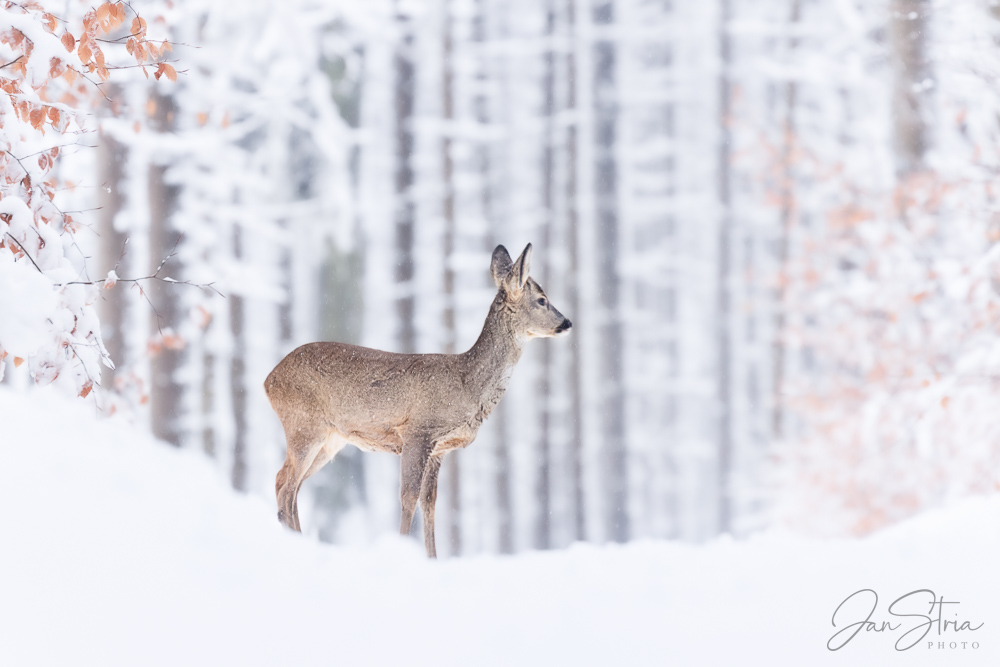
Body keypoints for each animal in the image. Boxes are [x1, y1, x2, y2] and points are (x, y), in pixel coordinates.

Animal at [266, 245, 572, 560]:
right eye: (542, 300)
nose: (567, 323)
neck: (467, 386)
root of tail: (268, 380)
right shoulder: (418, 431)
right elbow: (408, 496)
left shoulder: (439, 448)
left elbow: (430, 503)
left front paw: (433, 558)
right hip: (304, 425)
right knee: (286, 484)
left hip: (330, 439)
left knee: (286, 482)